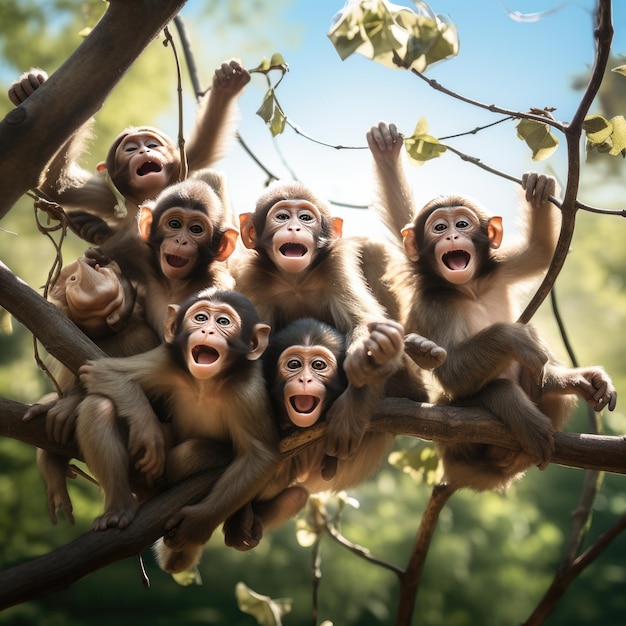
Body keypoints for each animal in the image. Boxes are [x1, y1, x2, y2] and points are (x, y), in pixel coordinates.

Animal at [7, 59, 249, 244]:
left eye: (152, 145)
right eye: (130, 149)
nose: (142, 151)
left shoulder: (184, 167)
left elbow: (205, 146)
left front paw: (227, 85)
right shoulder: (107, 195)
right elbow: (58, 183)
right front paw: (29, 86)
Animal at [74, 286, 276, 572]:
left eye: (223, 322)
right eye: (200, 318)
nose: (207, 331)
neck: (206, 383)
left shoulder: (248, 390)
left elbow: (260, 456)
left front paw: (197, 523)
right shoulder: (167, 359)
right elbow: (105, 371)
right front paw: (148, 430)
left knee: (186, 455)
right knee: (98, 405)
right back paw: (119, 508)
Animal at [366, 122, 616, 490]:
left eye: (462, 224)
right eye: (439, 227)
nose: (452, 237)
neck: (469, 289)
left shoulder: (496, 271)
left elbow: (541, 251)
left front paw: (538, 189)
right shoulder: (434, 302)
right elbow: (451, 370)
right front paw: (511, 338)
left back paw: (560, 385)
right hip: (453, 437)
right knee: (486, 388)